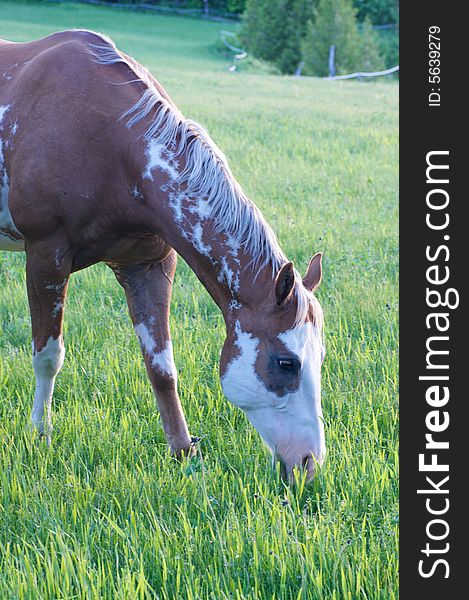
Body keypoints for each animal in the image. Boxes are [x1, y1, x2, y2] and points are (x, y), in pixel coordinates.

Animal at [0, 30, 324, 482]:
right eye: (286, 363)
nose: (310, 463)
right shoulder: (46, 257)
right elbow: (48, 357)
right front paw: (40, 435)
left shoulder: (148, 266)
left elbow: (162, 367)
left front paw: (182, 452)